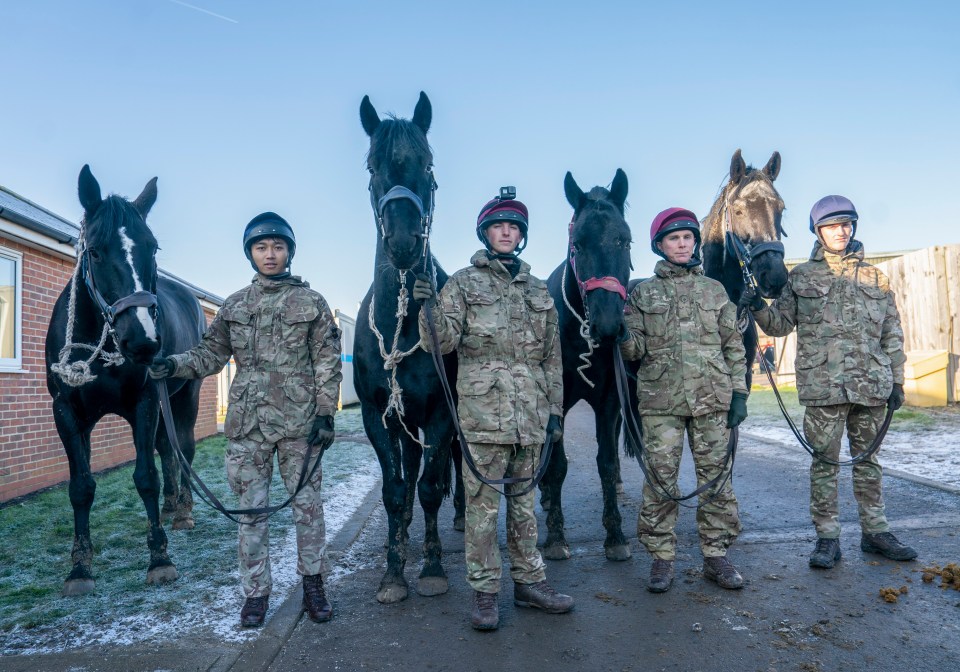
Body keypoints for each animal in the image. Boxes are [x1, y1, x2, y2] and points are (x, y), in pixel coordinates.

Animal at [45, 165, 204, 596]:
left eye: (154, 248)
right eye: (95, 251)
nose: (143, 340)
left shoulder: (145, 401)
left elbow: (145, 477)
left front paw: (160, 559)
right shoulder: (67, 412)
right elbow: (81, 486)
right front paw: (79, 568)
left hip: (186, 395)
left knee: (183, 447)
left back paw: (182, 509)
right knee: (167, 448)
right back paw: (171, 505)